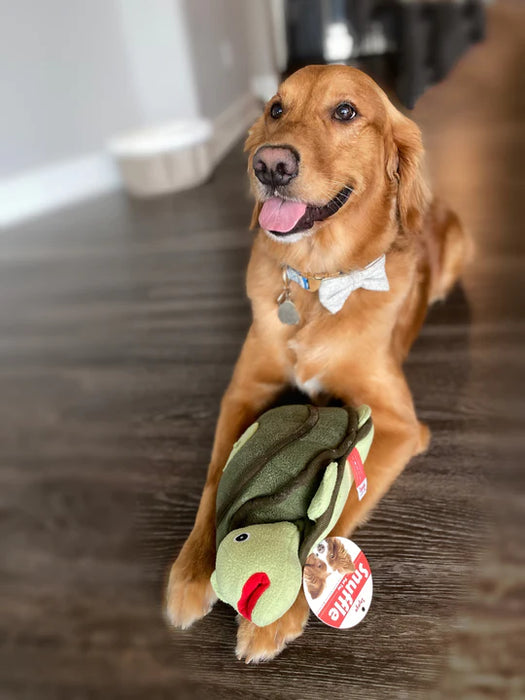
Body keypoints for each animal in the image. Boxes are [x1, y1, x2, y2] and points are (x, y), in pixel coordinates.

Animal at [165, 65, 471, 663]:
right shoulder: (242, 392)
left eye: (346, 111)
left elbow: (339, 507)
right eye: (276, 109)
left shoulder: (397, 425)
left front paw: (279, 613)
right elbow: (215, 478)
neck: (318, 280)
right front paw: (190, 572)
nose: (270, 164)